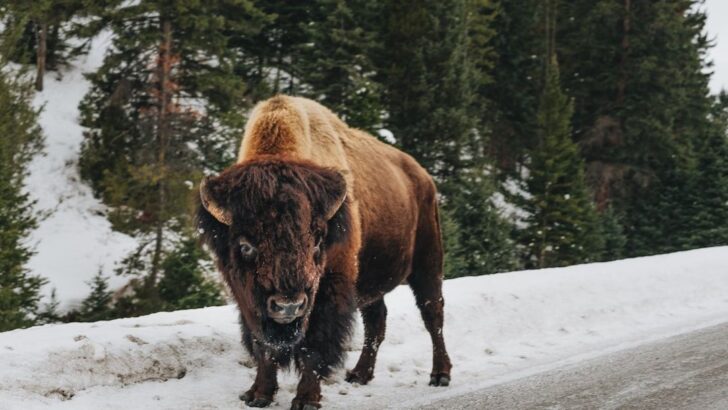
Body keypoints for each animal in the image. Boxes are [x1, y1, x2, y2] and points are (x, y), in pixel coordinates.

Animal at [197, 95, 451, 409]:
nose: (289, 306)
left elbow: (314, 347)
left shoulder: (327, 294)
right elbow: (263, 346)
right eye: (245, 245)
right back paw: (359, 374)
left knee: (432, 314)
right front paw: (257, 395)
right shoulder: (249, 301)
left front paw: (306, 399)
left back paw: (440, 375)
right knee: (377, 321)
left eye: (318, 242)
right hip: (370, 282)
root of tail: (423, 177)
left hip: (428, 264)